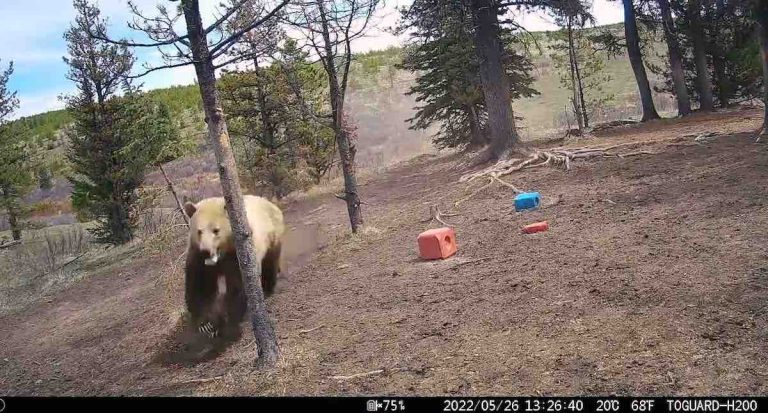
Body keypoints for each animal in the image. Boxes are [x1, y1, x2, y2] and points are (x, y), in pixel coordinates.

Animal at [183, 195, 285, 339]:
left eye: (216, 230)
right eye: (199, 231)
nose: (206, 250)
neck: (221, 254)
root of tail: (268, 201)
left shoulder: (237, 255)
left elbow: (237, 285)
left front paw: (230, 323)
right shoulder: (198, 257)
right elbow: (200, 285)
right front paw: (206, 324)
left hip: (272, 236)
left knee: (270, 264)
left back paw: (267, 288)